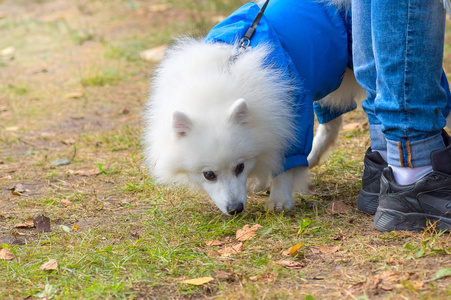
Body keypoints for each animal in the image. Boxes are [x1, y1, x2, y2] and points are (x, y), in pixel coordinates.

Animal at [145, 0, 368, 216]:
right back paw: (311, 159)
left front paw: (279, 199)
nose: (235, 209)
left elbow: (285, 158)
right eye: (209, 175)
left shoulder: (293, 111)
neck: (219, 84)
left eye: (239, 167)